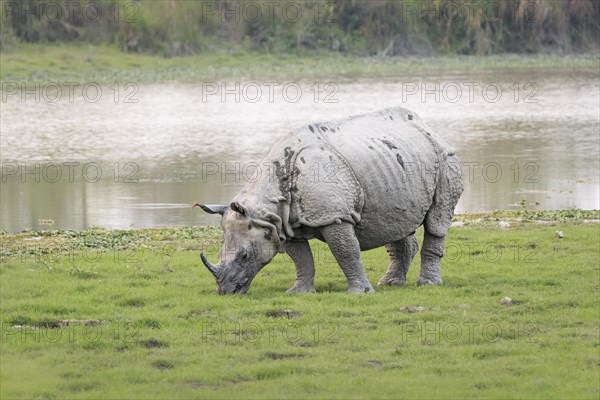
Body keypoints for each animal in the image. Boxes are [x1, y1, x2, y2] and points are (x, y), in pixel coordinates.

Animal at [197, 106, 464, 294]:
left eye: (244, 256)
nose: (226, 291)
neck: (267, 205)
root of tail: (426, 127)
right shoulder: (284, 221)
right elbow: (301, 257)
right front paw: (298, 292)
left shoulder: (333, 216)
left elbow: (345, 251)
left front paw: (360, 293)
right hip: (397, 162)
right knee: (395, 221)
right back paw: (390, 283)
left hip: (445, 159)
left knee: (437, 221)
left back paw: (427, 285)